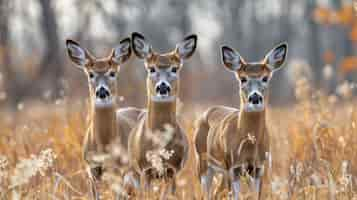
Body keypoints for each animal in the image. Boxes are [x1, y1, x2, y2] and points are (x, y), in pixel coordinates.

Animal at [64, 38, 144, 199]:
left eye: (112, 73)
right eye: (91, 74)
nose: (102, 91)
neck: (103, 147)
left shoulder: (121, 171)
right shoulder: (91, 170)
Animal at [125, 32, 196, 199]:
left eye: (175, 69)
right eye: (151, 69)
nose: (162, 87)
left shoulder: (173, 168)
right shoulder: (145, 169)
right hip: (133, 169)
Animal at [192, 41, 286, 198]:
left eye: (265, 78)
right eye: (243, 79)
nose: (255, 98)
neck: (249, 143)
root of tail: (208, 111)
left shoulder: (258, 168)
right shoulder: (233, 167)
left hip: (223, 171)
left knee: (217, 193)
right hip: (203, 161)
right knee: (207, 194)